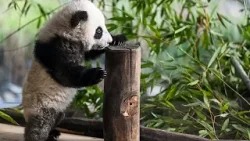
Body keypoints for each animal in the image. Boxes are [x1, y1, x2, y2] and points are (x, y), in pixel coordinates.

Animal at [21, 0, 127, 141]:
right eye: (98, 31)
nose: (108, 40)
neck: (64, 31)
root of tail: (26, 115)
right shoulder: (55, 50)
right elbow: (65, 73)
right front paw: (97, 74)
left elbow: (90, 53)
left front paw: (118, 39)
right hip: (41, 105)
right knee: (40, 126)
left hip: (57, 110)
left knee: (58, 117)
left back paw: (53, 133)